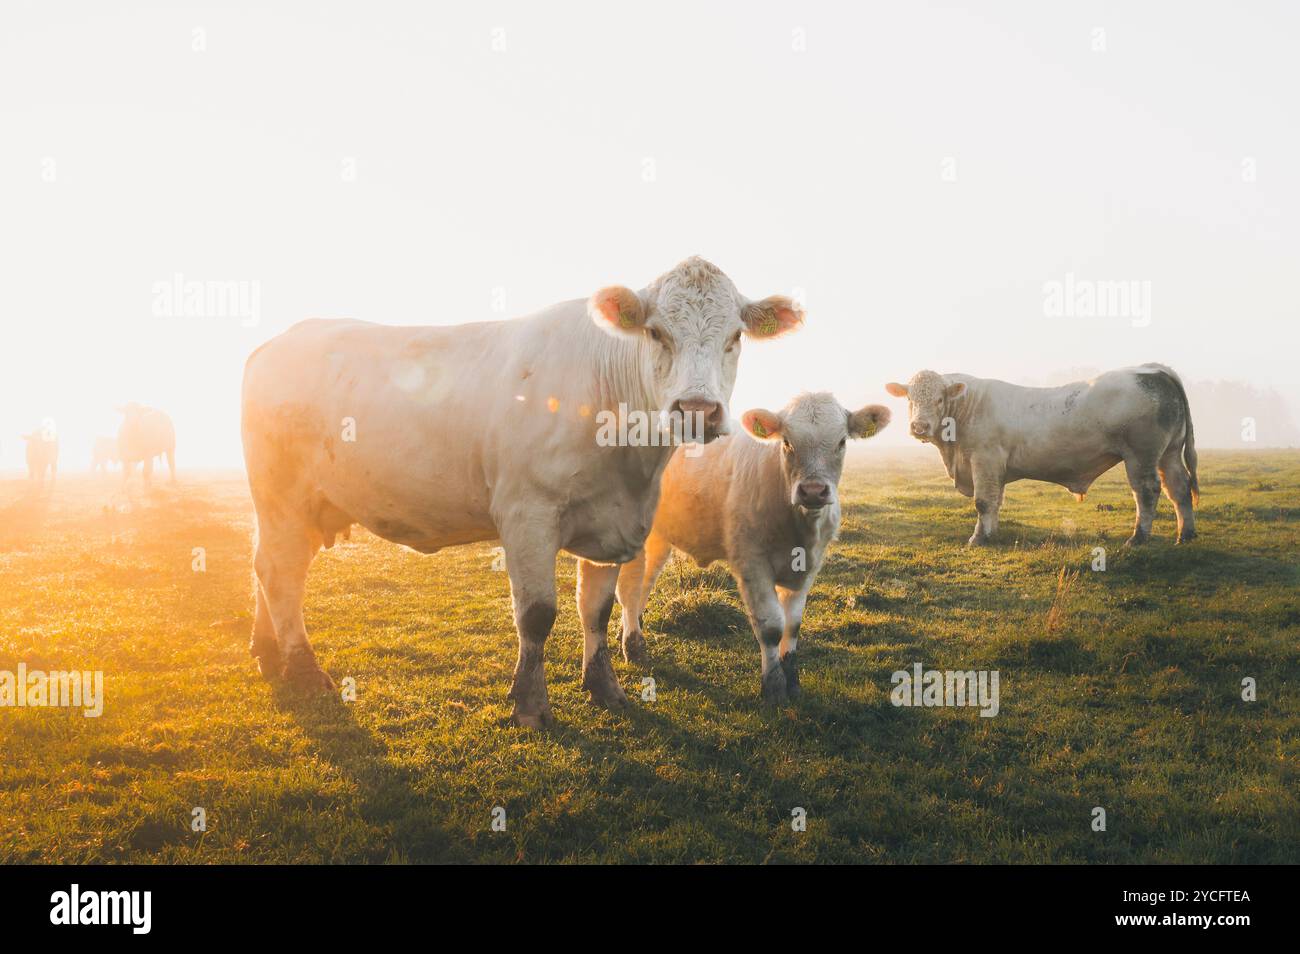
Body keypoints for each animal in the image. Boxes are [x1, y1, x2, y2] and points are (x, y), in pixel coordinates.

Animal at [241, 257, 800, 727]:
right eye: (656, 332)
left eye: (734, 336)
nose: (697, 410)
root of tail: (281, 339)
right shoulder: (527, 513)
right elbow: (537, 614)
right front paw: (530, 704)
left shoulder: (613, 525)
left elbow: (596, 608)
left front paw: (604, 687)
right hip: (281, 494)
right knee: (281, 573)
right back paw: (303, 669)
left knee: (267, 568)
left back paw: (267, 651)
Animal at [613, 395, 889, 701]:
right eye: (787, 442)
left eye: (841, 441)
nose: (813, 491)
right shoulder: (752, 562)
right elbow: (771, 627)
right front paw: (774, 687)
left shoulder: (810, 566)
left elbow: (793, 625)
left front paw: (792, 680)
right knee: (629, 586)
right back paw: (633, 646)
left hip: (660, 535)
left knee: (646, 581)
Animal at [883, 363, 1196, 548]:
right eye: (909, 399)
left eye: (939, 399)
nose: (919, 426)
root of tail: (1150, 369)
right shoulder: (993, 469)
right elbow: (995, 502)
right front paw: (991, 534)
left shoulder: (984, 460)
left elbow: (983, 502)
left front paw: (978, 538)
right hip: (1168, 454)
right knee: (1179, 489)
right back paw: (1186, 534)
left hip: (1141, 455)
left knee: (1147, 491)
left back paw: (1138, 538)